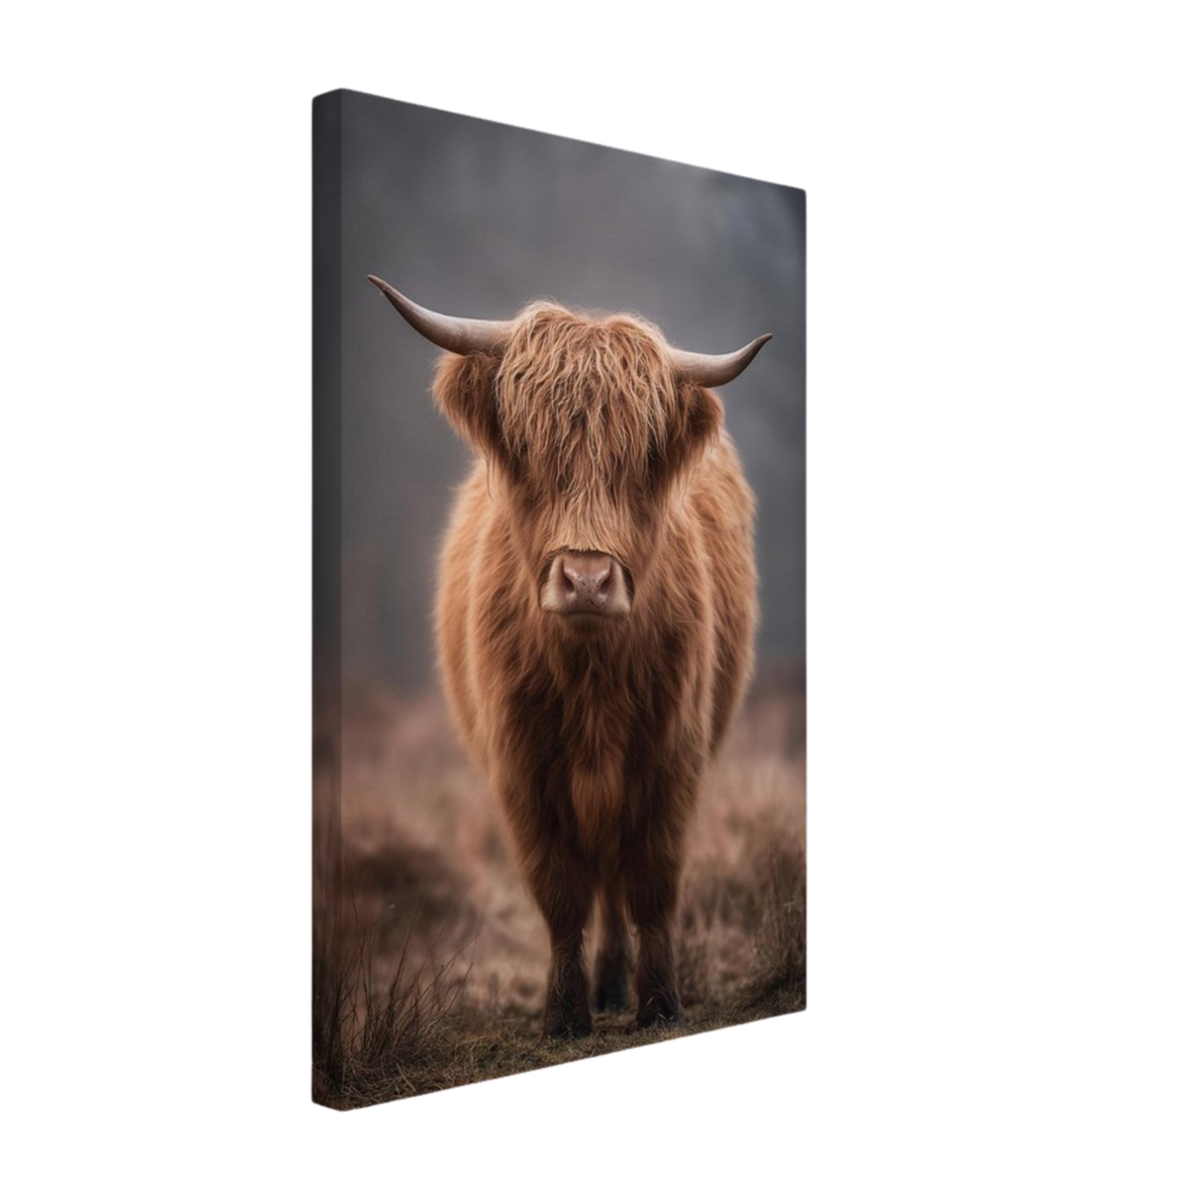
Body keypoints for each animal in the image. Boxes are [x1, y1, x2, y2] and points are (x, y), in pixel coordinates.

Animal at [369, 275, 769, 1036]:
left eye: (641, 460)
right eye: (530, 451)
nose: (586, 580)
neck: (592, 683)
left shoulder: (672, 756)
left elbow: (652, 885)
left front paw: (660, 1003)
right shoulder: (523, 768)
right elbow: (558, 891)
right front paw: (563, 1014)